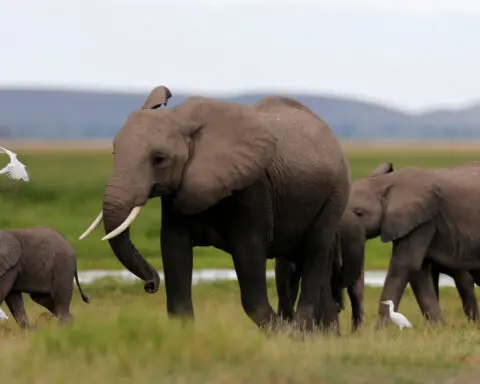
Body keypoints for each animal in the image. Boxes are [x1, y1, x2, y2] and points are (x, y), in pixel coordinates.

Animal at [78, 85, 348, 332]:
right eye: (114, 153)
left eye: (159, 160)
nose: (151, 285)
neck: (181, 118)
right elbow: (174, 248)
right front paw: (183, 334)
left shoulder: (252, 186)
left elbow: (249, 253)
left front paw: (281, 333)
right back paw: (322, 335)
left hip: (335, 194)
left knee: (316, 251)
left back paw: (301, 331)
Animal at [346, 160, 480, 326]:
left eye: (359, 213)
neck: (386, 183)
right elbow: (419, 271)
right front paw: (438, 327)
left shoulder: (424, 221)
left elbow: (404, 265)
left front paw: (381, 329)